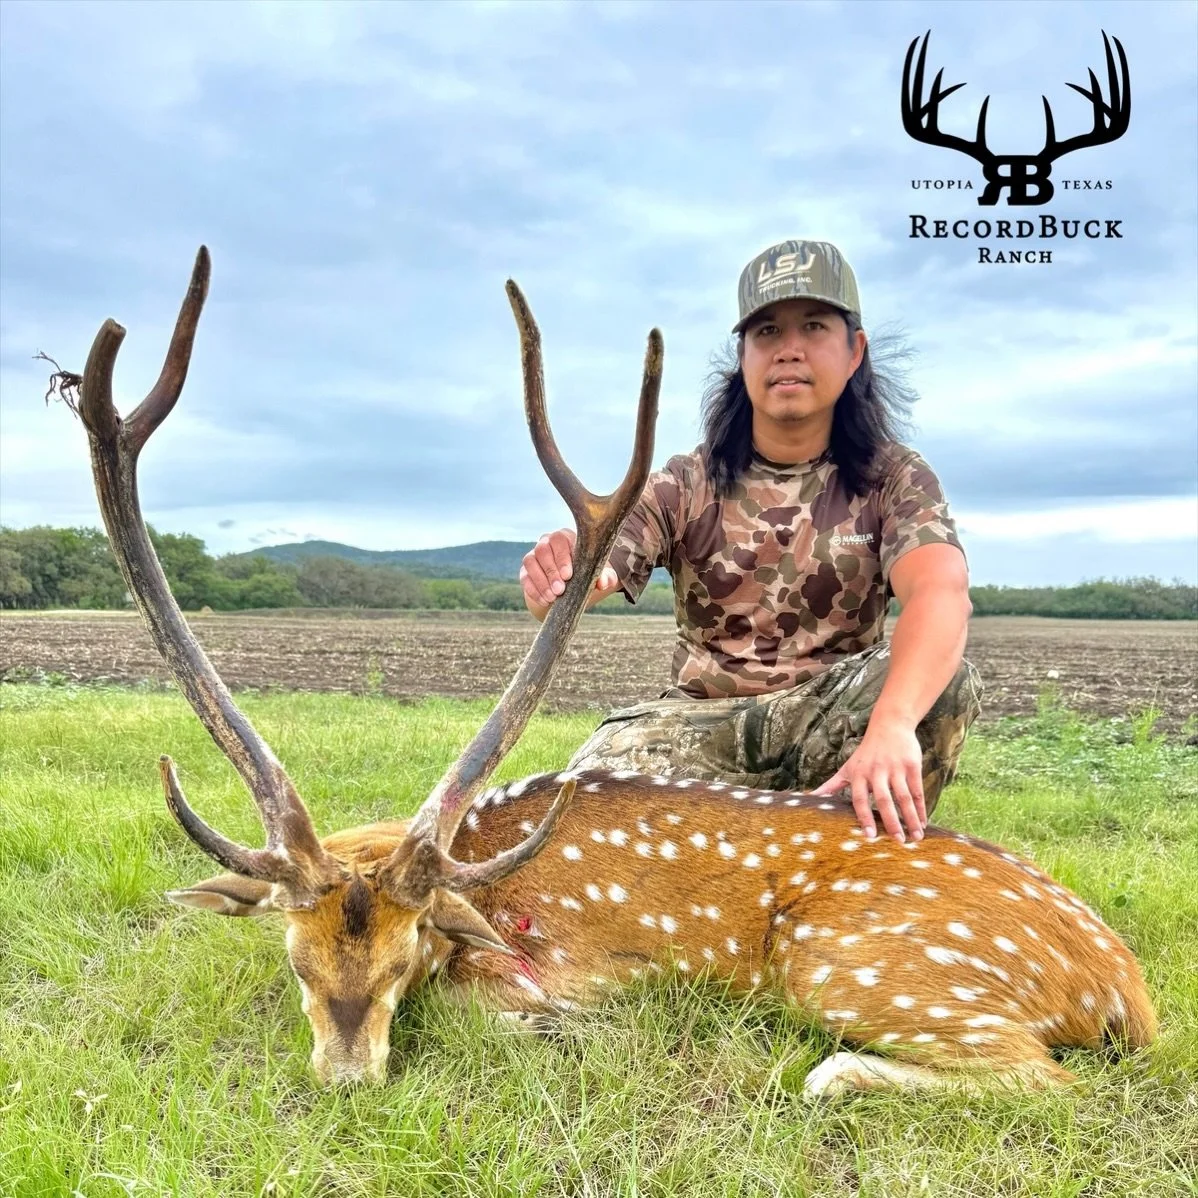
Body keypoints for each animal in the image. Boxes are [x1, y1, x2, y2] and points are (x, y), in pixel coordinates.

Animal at [72, 248, 1156, 1096]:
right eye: (296, 962)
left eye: (404, 959)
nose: (347, 1078)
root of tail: (1124, 987)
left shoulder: (540, 968)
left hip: (867, 965)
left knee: (1041, 1078)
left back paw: (833, 1070)